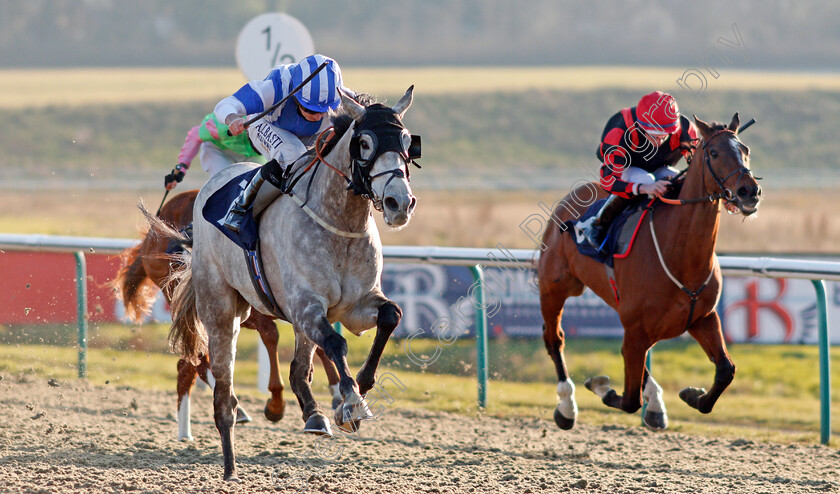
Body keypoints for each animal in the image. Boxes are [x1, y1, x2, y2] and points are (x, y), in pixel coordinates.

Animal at [111, 189, 342, 440]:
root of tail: (150, 238)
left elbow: (317, 343)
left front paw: (336, 393)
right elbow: (272, 335)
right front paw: (277, 402)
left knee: (186, 366)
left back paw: (186, 433)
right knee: (200, 360)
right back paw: (234, 410)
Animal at [160, 87, 416, 480]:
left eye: (406, 141)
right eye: (365, 143)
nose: (398, 202)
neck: (339, 223)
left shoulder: (356, 305)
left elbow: (391, 315)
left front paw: (358, 389)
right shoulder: (305, 304)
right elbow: (336, 343)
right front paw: (352, 402)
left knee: (298, 369)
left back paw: (313, 415)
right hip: (221, 311)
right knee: (223, 393)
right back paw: (230, 466)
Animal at [540, 114, 760, 430]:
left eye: (745, 149)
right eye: (715, 153)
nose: (749, 191)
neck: (681, 257)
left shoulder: (702, 318)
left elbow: (725, 370)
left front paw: (692, 395)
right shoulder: (635, 329)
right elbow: (629, 400)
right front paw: (602, 387)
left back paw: (654, 403)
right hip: (554, 287)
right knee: (554, 338)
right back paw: (566, 406)